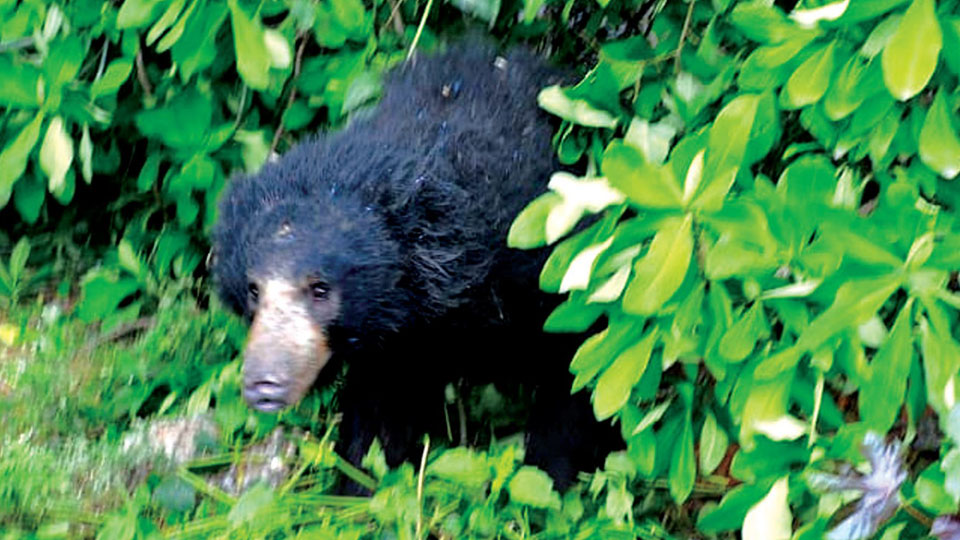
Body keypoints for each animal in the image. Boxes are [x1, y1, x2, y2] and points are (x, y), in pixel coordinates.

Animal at [210, 43, 620, 490]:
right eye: (254, 290)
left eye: (320, 289)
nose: (264, 384)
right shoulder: (394, 346)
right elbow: (378, 419)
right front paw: (356, 487)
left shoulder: (540, 267)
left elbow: (579, 360)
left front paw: (545, 478)